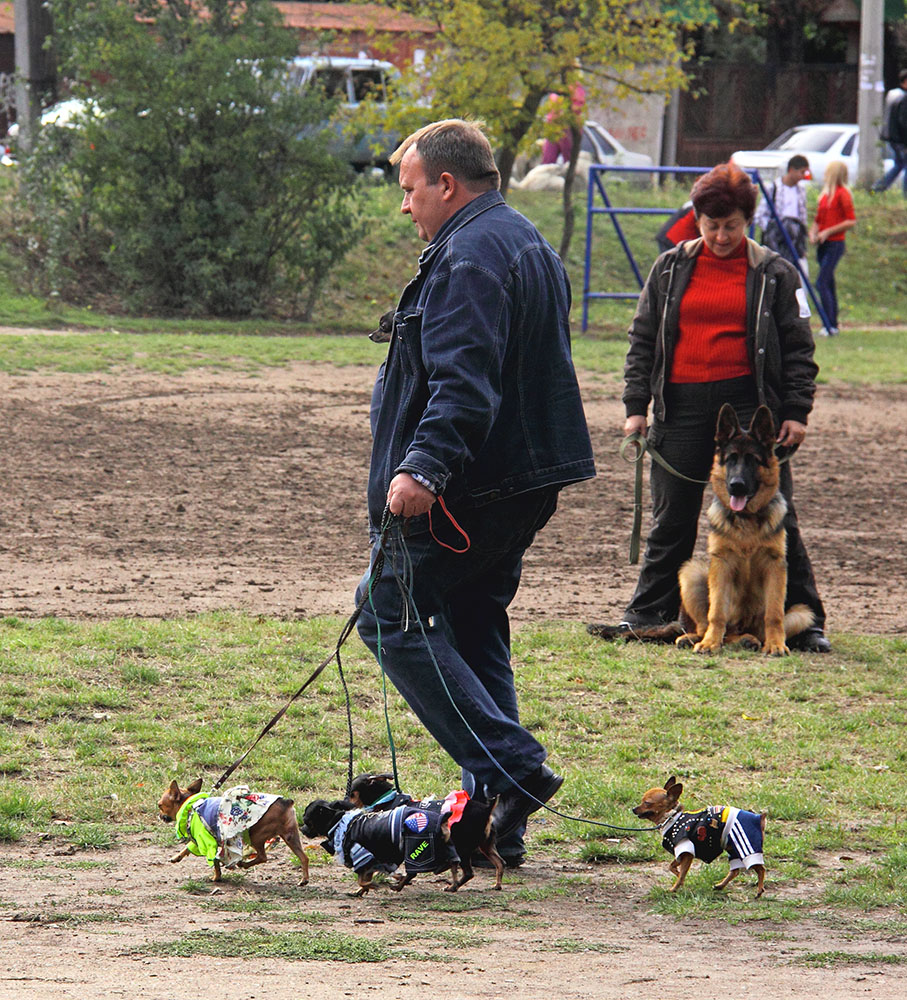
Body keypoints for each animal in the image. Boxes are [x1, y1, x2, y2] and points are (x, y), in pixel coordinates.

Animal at [158, 772, 310, 884]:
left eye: (160, 805)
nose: (159, 815)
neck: (191, 805)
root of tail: (286, 802)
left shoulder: (208, 842)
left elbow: (214, 861)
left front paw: (216, 877)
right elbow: (187, 848)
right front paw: (176, 857)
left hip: (256, 836)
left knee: (263, 856)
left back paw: (244, 864)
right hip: (291, 836)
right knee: (304, 857)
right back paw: (304, 880)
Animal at [672, 402, 816, 660]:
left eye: (752, 460)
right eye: (731, 459)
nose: (736, 485)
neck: (747, 519)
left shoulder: (775, 565)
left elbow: (774, 614)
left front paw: (776, 645)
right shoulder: (722, 563)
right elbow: (716, 613)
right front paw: (710, 643)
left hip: (802, 613)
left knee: (760, 628)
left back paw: (751, 639)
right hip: (691, 573)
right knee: (709, 626)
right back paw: (698, 638)